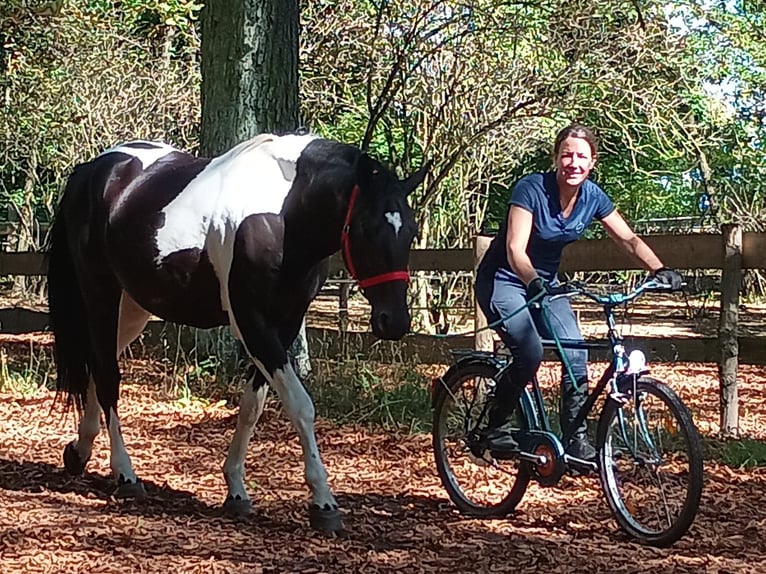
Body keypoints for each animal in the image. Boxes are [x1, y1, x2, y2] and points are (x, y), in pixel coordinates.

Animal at [46, 132, 428, 532]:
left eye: (411, 231)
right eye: (367, 229)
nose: (394, 322)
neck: (284, 214)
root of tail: (93, 170)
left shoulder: (285, 323)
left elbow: (251, 406)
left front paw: (236, 491)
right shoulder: (251, 321)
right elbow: (300, 405)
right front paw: (323, 502)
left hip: (134, 307)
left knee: (97, 362)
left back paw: (80, 451)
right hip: (100, 293)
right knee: (107, 375)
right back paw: (125, 474)